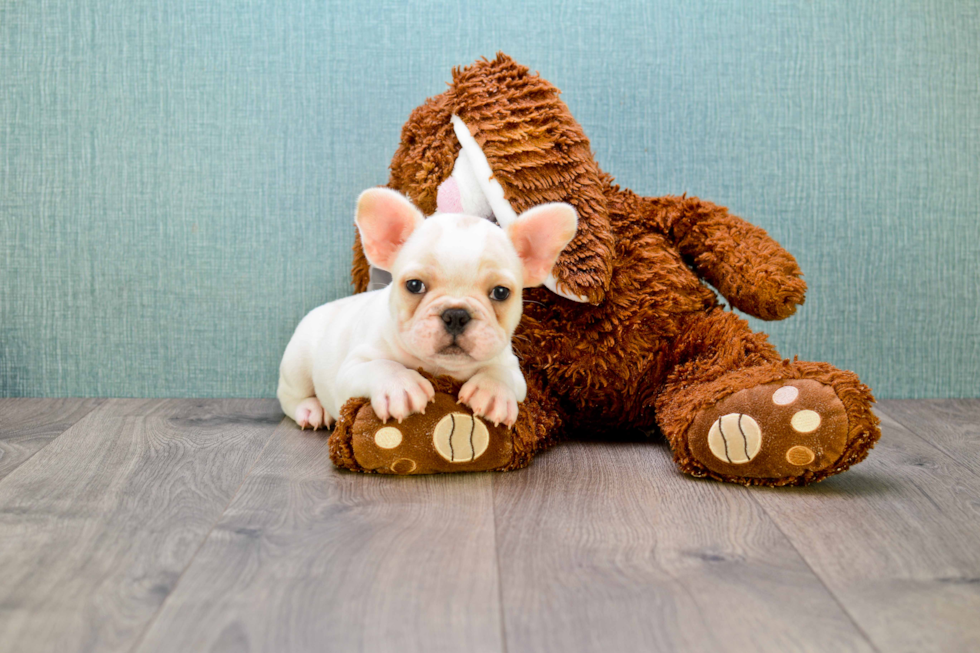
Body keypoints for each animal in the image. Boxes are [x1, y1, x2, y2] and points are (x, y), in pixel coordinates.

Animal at [280, 188, 580, 430]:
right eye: (414, 285)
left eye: (501, 292)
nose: (456, 314)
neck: (441, 367)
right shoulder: (352, 369)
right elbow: (381, 365)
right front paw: (400, 385)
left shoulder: (511, 367)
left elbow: (501, 373)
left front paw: (493, 391)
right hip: (297, 364)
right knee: (289, 397)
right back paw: (312, 410)